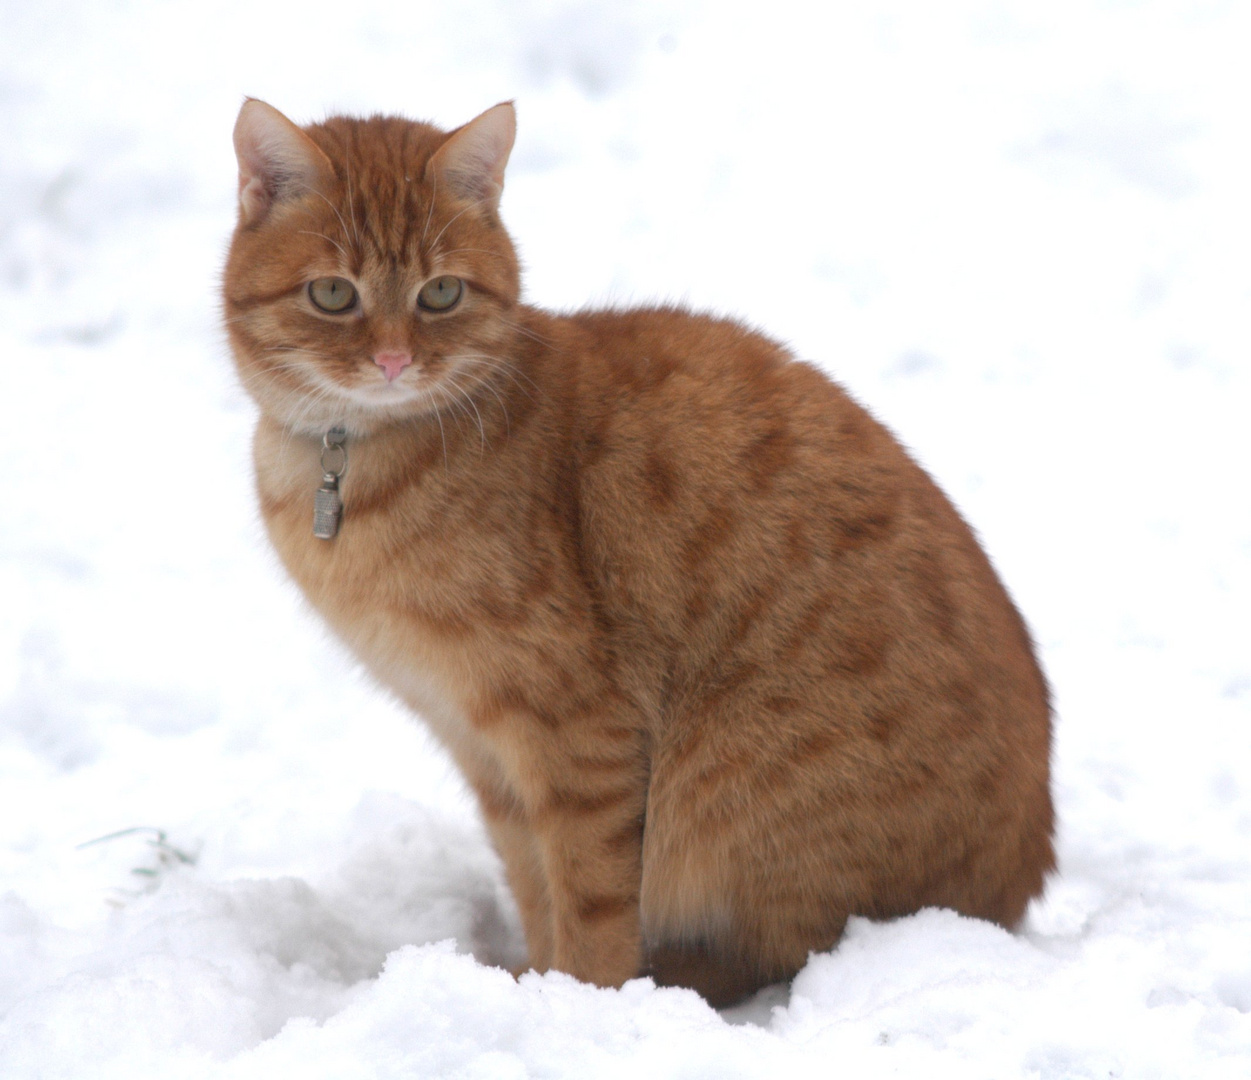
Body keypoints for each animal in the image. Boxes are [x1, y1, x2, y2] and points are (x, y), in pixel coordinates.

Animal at [220, 96, 1050, 1011]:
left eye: (441, 293)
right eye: (333, 293)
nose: (394, 360)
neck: (351, 465)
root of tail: (1017, 884)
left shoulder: (577, 732)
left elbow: (590, 903)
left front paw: (579, 1006)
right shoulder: (487, 754)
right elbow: (534, 885)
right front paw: (536, 983)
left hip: (732, 791)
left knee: (777, 953)